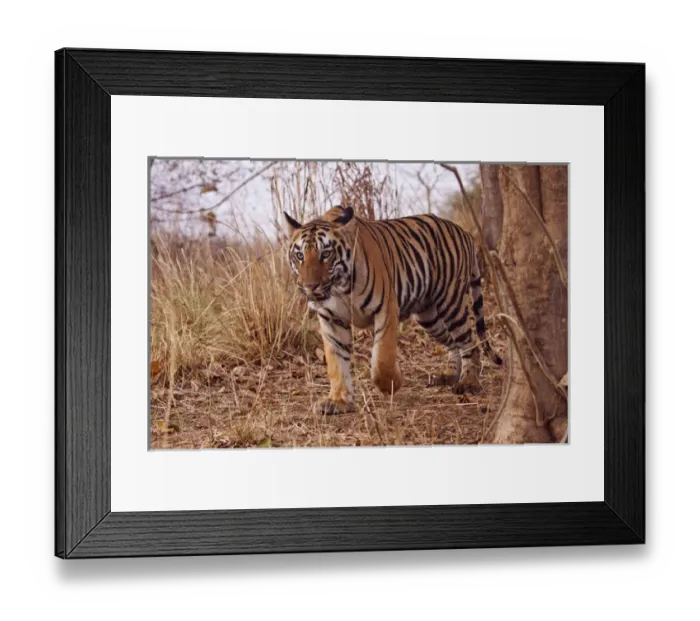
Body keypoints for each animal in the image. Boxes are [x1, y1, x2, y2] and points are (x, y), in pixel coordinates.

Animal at [283, 205, 503, 415]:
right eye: (299, 256)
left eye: (326, 254)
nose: (309, 286)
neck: (340, 288)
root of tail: (464, 232)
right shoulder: (331, 319)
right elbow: (336, 361)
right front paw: (338, 401)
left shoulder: (386, 309)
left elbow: (382, 360)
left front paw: (392, 385)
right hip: (429, 317)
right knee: (451, 342)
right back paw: (450, 375)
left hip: (451, 303)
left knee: (469, 342)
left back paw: (468, 382)